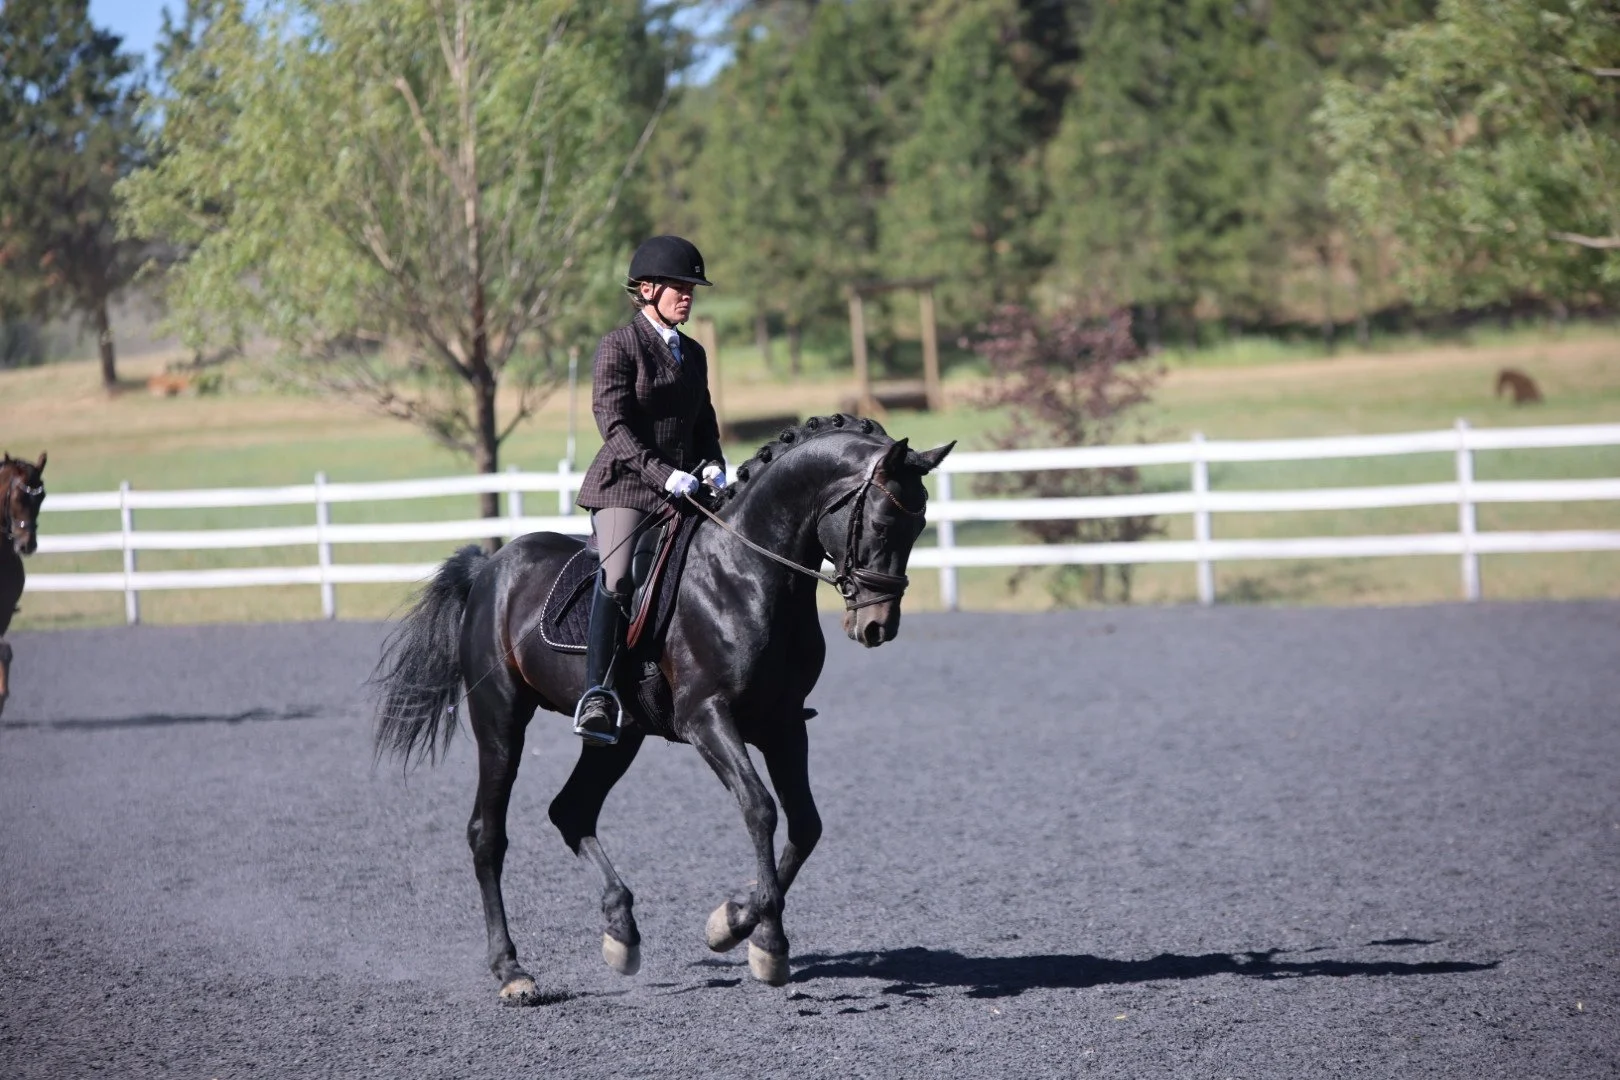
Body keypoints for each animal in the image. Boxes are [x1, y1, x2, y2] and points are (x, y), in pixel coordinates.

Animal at [372, 415, 953, 1004]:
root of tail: (490, 566)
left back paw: (621, 934)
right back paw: (512, 971)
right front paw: (760, 940)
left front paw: (735, 924)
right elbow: (760, 808)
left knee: (571, 810)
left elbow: (806, 824)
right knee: (487, 835)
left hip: (618, 738)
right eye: (881, 523)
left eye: (920, 527)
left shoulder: (785, 723)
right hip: (501, 721)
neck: (745, 574)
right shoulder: (707, 718)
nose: (877, 627)